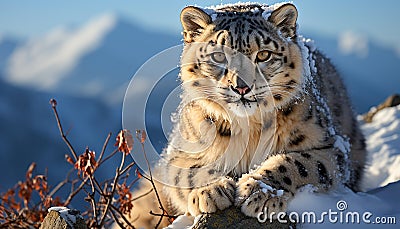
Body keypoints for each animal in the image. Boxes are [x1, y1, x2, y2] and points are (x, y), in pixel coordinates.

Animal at [121, 2, 366, 227]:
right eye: (219, 56)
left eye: (264, 54)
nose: (241, 87)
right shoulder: (180, 154)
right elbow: (189, 172)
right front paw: (212, 189)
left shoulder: (331, 148)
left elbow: (297, 163)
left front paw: (258, 191)